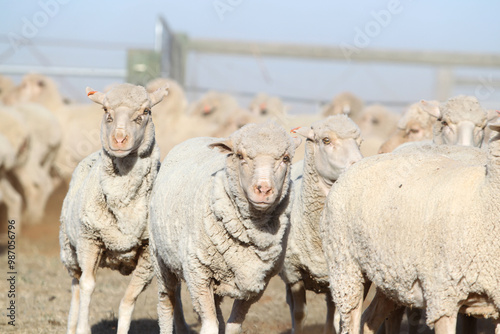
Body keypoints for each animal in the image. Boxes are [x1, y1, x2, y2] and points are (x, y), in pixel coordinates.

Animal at [57, 81, 165, 334]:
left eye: (146, 111)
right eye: (106, 110)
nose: (119, 139)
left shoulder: (148, 256)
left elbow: (127, 301)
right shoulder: (89, 240)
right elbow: (88, 287)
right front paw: (83, 328)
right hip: (70, 249)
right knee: (76, 287)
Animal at [149, 121, 300, 334]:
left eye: (286, 158)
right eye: (240, 156)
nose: (263, 190)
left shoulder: (257, 284)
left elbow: (232, 326)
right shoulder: (198, 273)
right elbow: (210, 326)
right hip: (160, 259)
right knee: (166, 303)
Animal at [280, 115, 362, 334]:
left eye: (359, 142)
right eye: (326, 140)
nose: (358, 165)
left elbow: (337, 316)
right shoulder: (293, 271)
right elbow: (299, 313)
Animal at [318, 119, 500, 332]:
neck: (483, 194)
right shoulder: (443, 296)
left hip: (389, 278)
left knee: (369, 319)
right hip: (345, 268)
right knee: (351, 320)